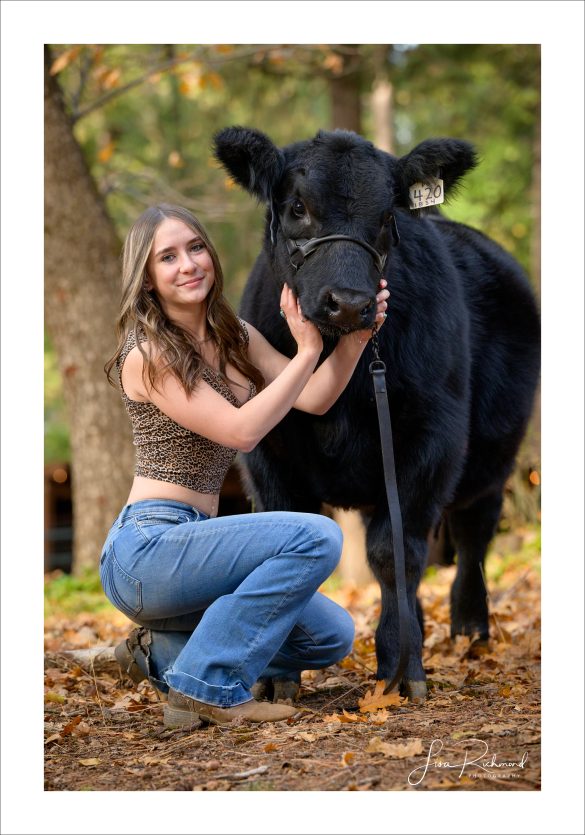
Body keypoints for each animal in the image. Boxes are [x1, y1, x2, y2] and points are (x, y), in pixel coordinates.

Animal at [213, 124, 540, 704]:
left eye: (389, 216)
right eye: (297, 206)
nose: (348, 302)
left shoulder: (432, 438)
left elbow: (396, 552)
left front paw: (401, 666)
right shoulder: (267, 453)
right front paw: (276, 673)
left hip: (493, 455)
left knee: (473, 532)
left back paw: (469, 631)